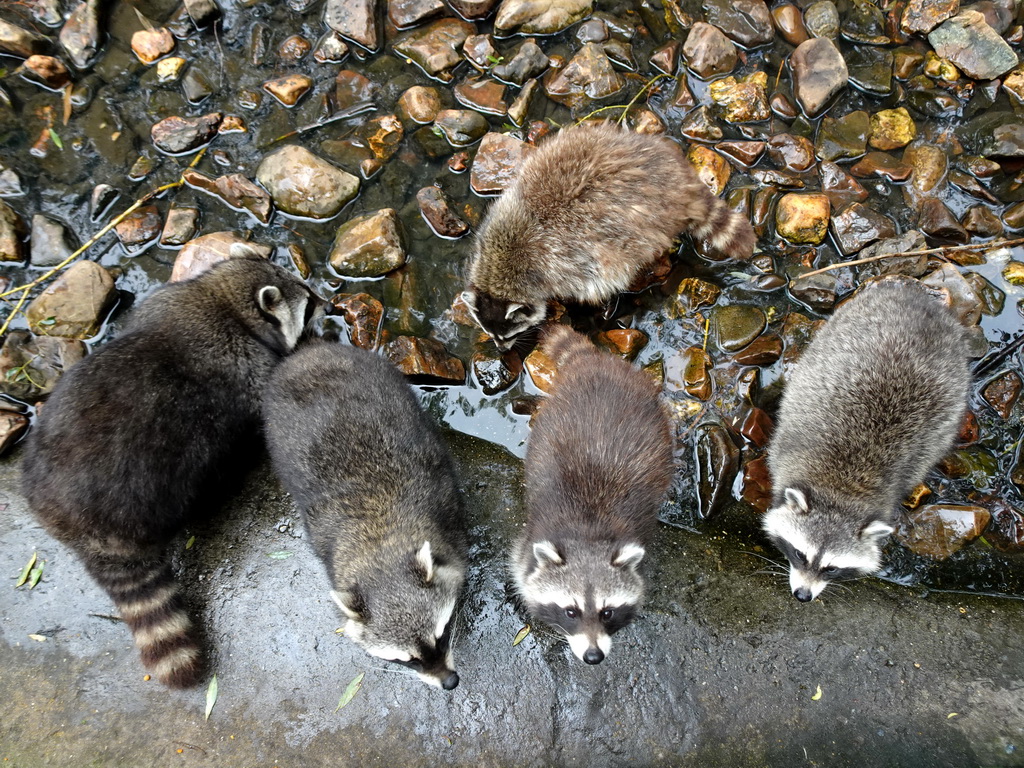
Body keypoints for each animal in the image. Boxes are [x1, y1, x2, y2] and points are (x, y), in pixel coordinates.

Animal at [20, 256, 319, 688]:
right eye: (308, 303)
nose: (328, 302)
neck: (223, 301)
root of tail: (88, 530)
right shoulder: (246, 361)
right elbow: (263, 397)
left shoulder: (163, 299)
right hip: (151, 489)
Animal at [266, 342, 468, 692]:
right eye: (408, 660)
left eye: (440, 637)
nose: (450, 682)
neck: (379, 534)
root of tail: (308, 352)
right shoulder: (324, 539)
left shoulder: (444, 499)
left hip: (381, 375)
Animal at [462, 123, 753, 352]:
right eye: (490, 333)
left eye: (508, 334)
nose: (501, 350)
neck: (504, 264)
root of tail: (680, 181)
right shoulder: (495, 220)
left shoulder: (563, 263)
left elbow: (595, 283)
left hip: (643, 225)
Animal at [509, 327, 671, 663]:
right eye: (571, 611)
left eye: (607, 612)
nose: (593, 656)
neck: (588, 532)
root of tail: (594, 362)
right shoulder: (531, 538)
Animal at [765, 280, 970, 606]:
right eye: (800, 553)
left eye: (832, 568)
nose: (803, 596)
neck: (842, 492)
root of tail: (922, 301)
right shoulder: (783, 450)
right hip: (843, 326)